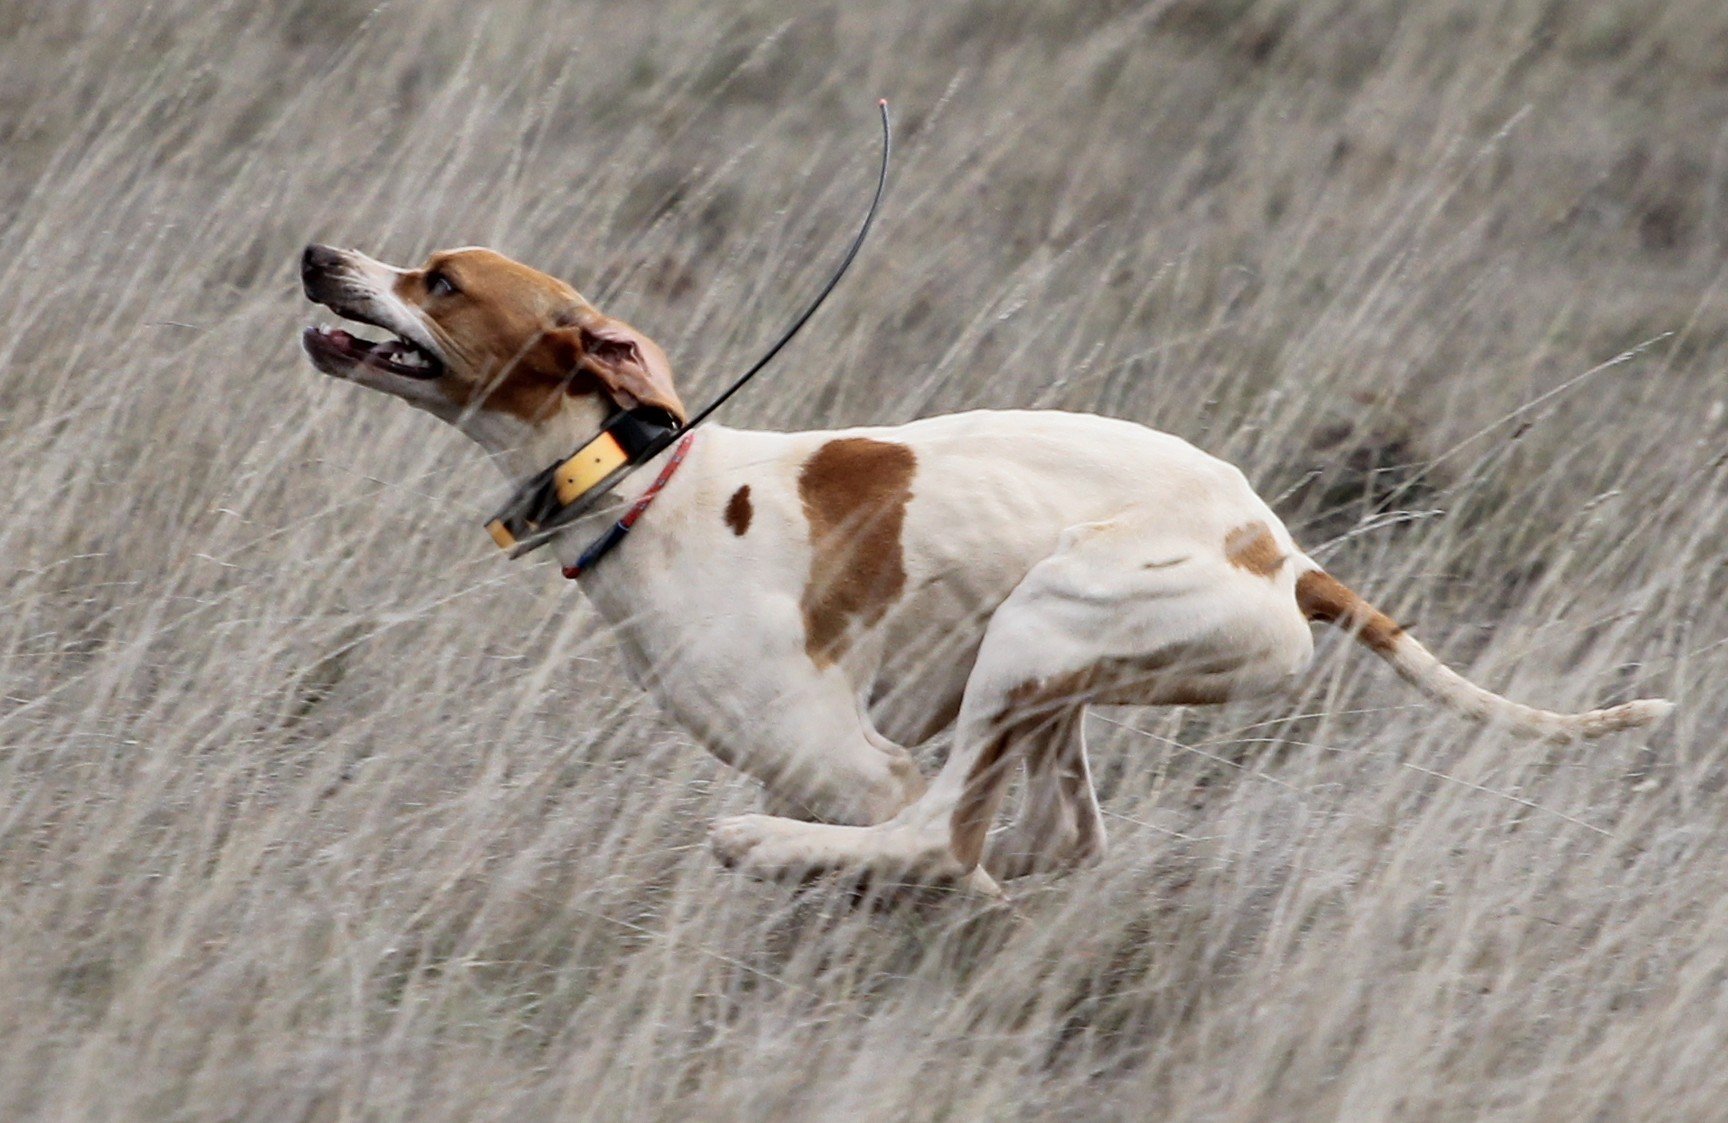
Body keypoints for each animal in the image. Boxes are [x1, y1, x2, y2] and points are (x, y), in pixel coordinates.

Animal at [300, 241, 1672, 891]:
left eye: (440, 281)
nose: (320, 257)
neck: (644, 481)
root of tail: (1286, 555)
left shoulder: (851, 764)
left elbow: (912, 834)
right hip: (1048, 686)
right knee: (1050, 838)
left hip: (1045, 623)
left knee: (942, 843)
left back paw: (774, 850)